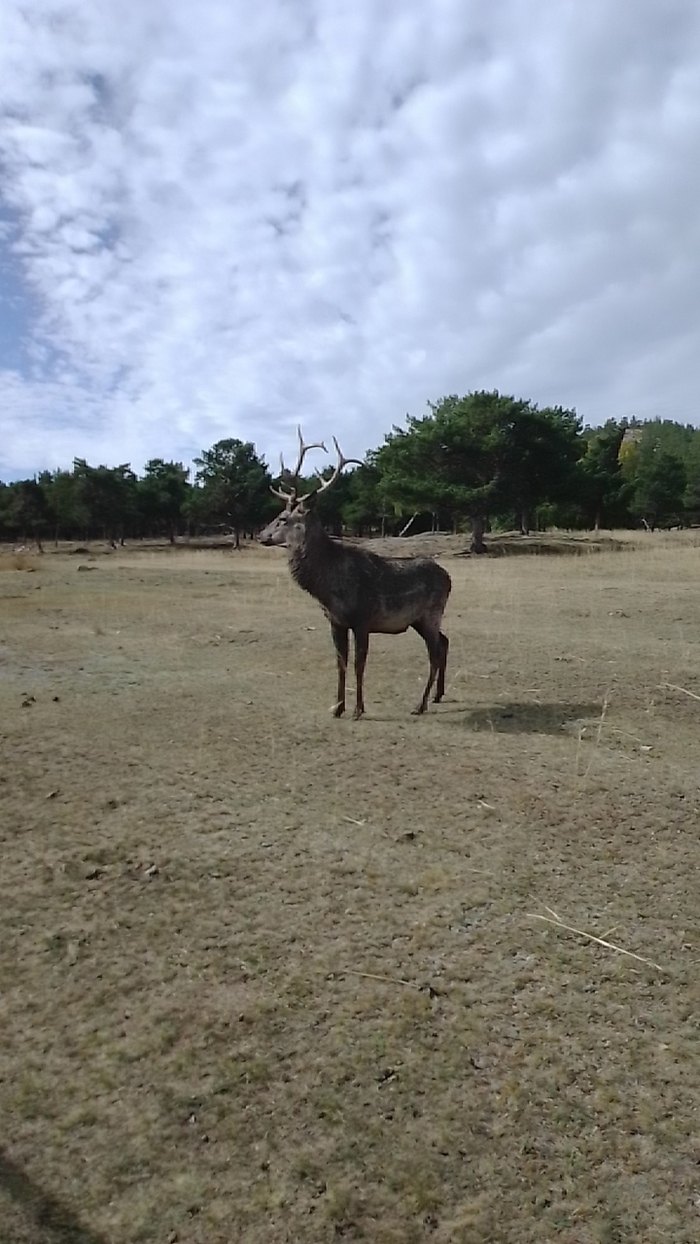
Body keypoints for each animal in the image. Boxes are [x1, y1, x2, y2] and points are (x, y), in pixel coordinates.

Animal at [258, 428, 451, 719]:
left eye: (282, 518)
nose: (261, 535)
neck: (330, 588)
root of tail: (449, 578)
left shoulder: (363, 619)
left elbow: (360, 664)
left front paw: (359, 709)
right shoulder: (335, 621)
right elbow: (341, 663)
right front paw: (337, 707)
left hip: (431, 612)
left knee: (435, 651)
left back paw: (420, 704)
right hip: (420, 619)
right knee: (445, 641)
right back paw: (438, 696)